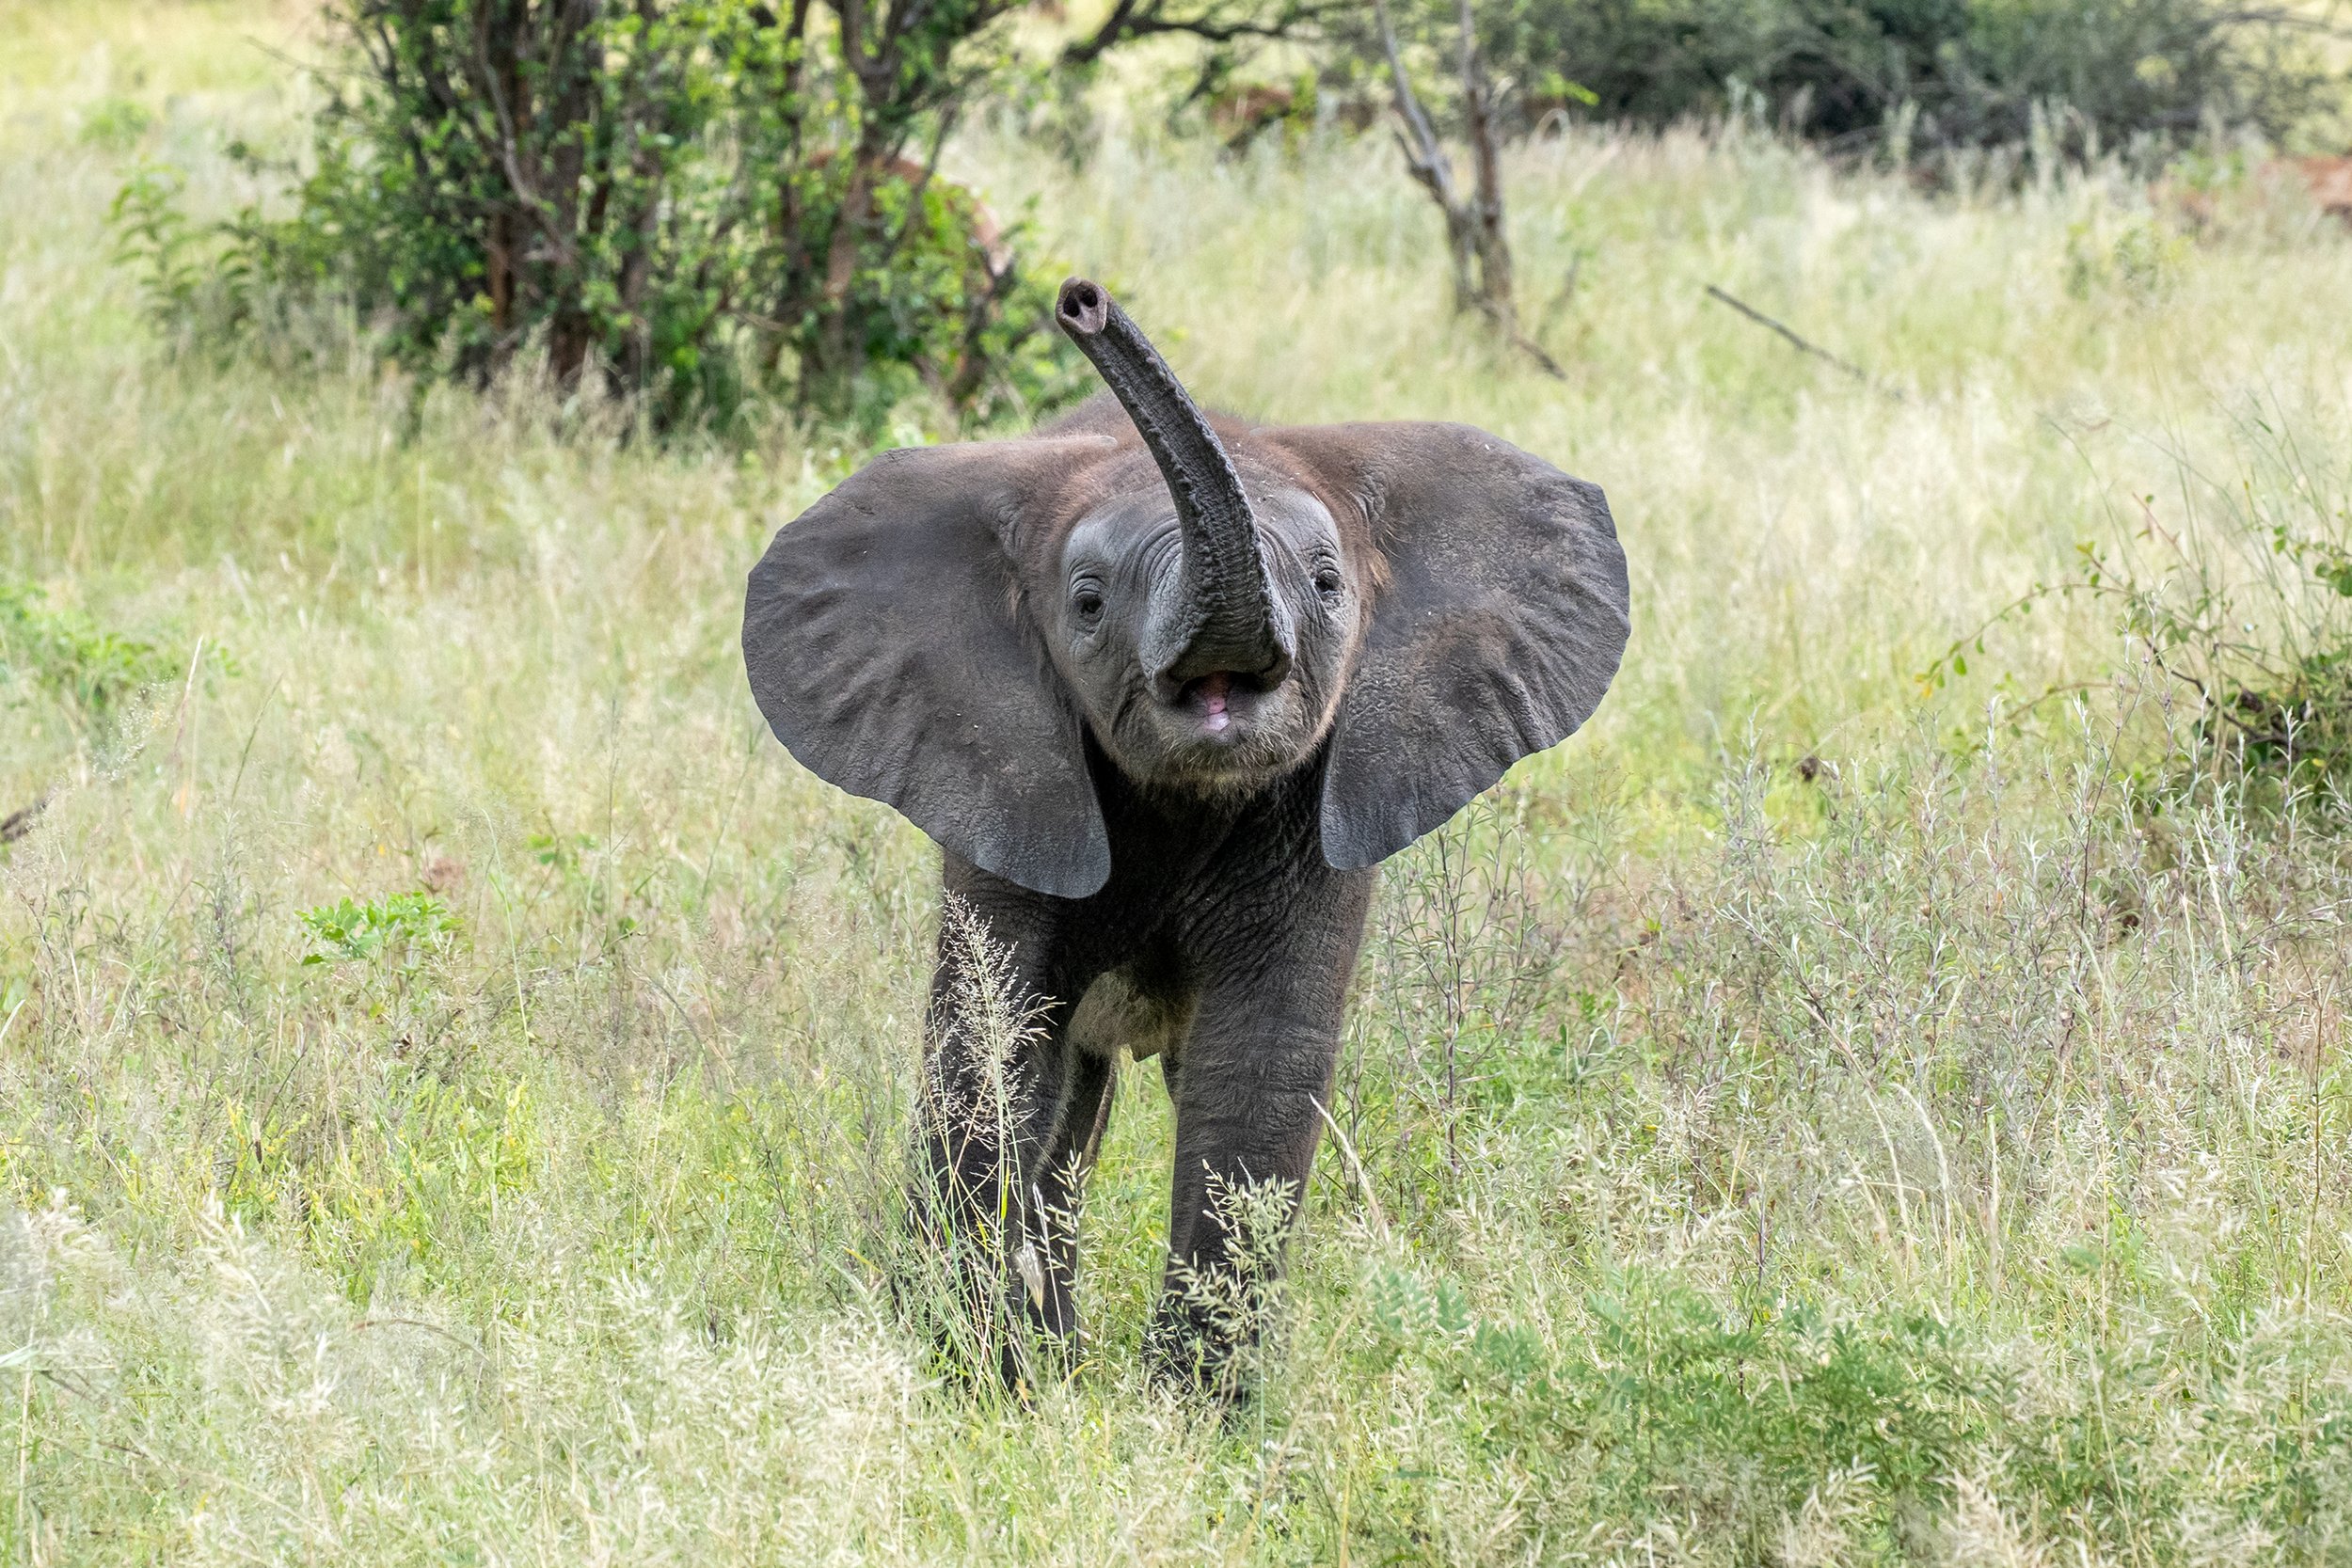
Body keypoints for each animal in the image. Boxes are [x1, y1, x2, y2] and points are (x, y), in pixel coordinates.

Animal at [742, 277, 1629, 1394]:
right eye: (1085, 603)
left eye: (1329, 584)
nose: (1082, 303)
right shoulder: (1000, 777)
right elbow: (992, 1051)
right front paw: (977, 1384)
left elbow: (1256, 1063)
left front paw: (1193, 1414)